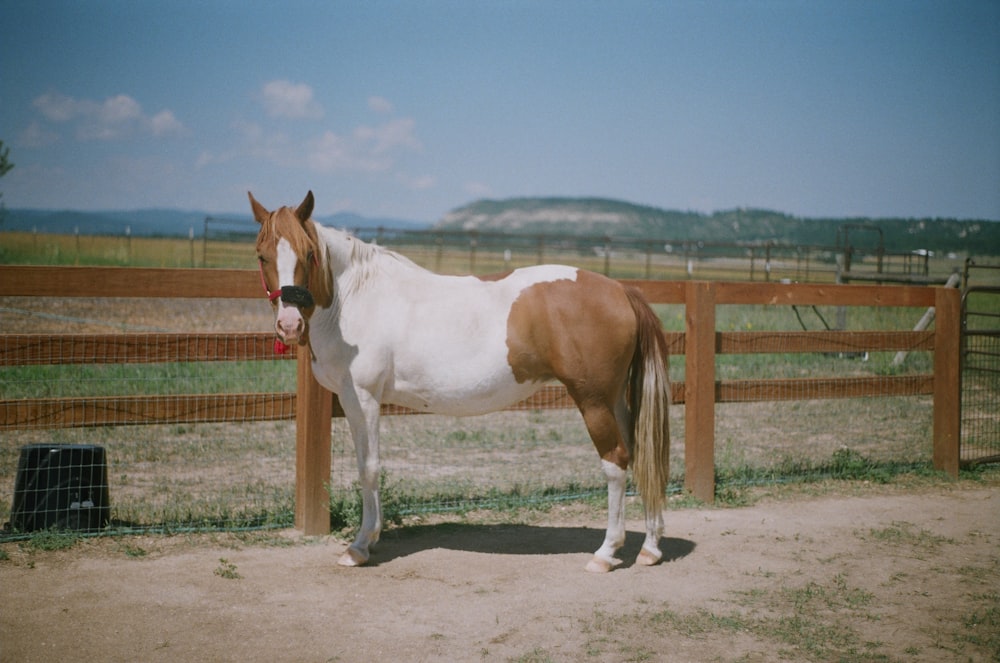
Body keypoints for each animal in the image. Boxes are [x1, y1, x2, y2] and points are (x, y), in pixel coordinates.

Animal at [250, 191, 672, 572]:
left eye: (308, 254)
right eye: (262, 255)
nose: (289, 325)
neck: (353, 298)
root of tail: (621, 290)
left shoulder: (363, 399)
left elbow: (368, 468)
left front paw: (359, 546)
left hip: (594, 400)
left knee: (616, 462)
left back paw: (606, 553)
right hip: (615, 401)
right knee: (642, 456)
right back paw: (650, 548)